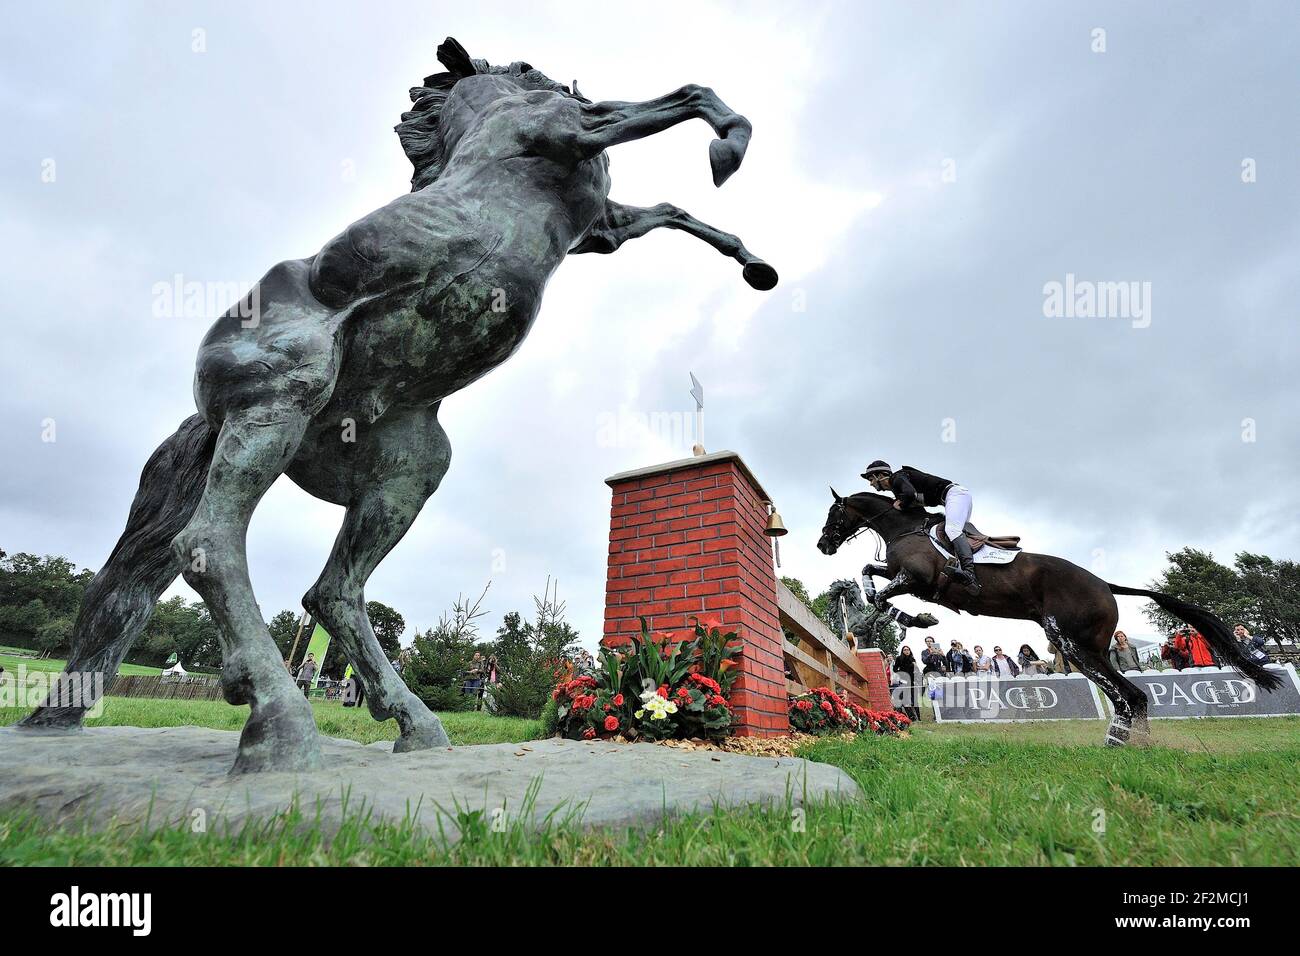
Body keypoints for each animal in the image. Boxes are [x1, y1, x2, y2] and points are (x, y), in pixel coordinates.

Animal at [816, 489, 1284, 743]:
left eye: (834, 513)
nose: (822, 544)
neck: (903, 527)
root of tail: (1104, 584)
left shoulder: (918, 578)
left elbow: (880, 594)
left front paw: (910, 619)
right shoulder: (902, 575)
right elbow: (869, 574)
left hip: (1073, 642)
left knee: (1130, 696)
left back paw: (1123, 743)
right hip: (1081, 646)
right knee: (1127, 697)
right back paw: (1128, 742)